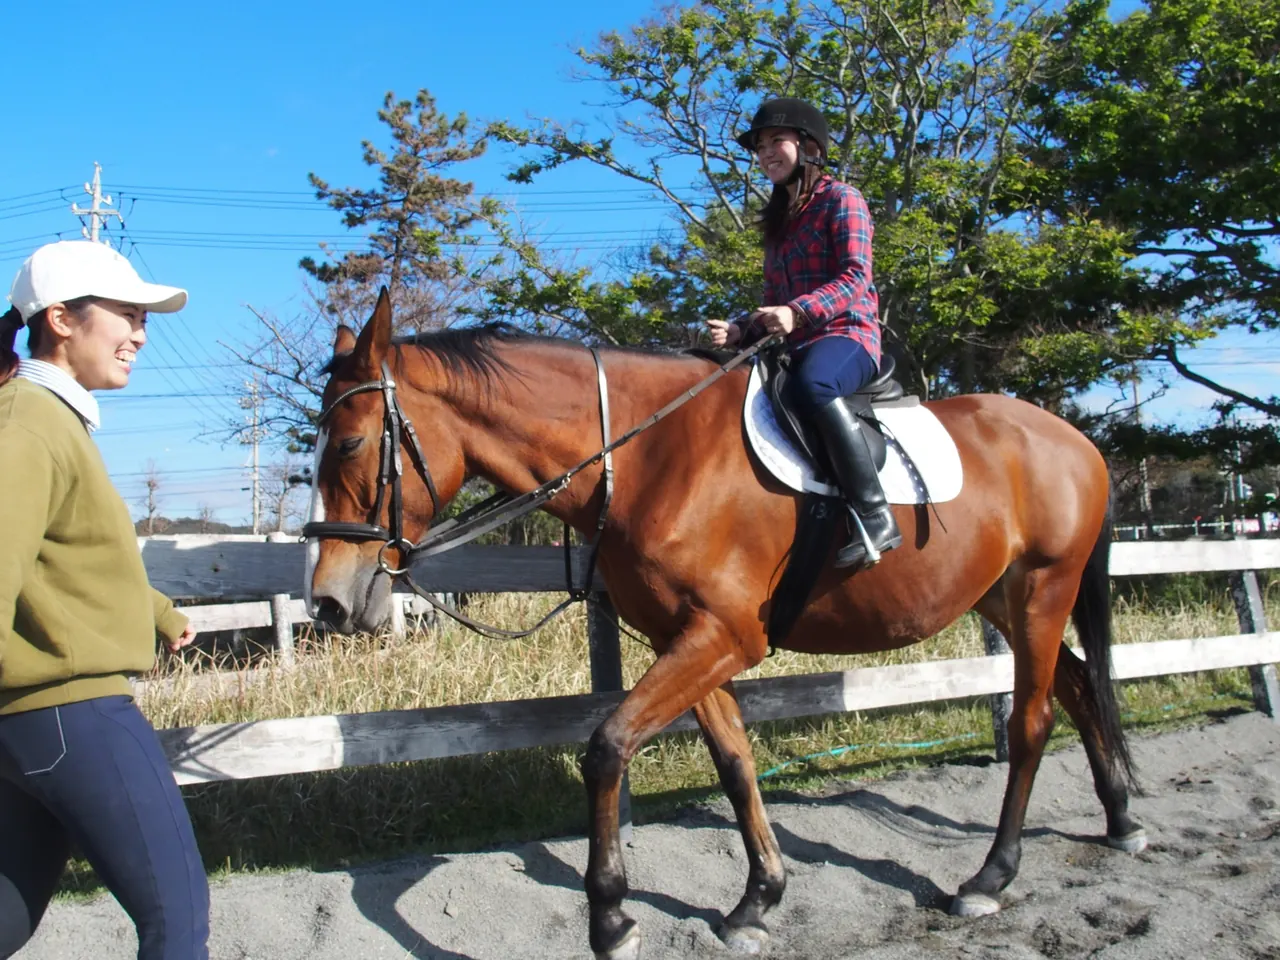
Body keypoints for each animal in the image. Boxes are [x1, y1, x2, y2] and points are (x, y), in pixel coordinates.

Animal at [304, 290, 1143, 960]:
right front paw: (757, 900)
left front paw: (611, 920)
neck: (651, 453)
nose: (328, 604)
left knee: (1033, 721)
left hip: (1042, 591)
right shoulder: (687, 638)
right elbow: (735, 764)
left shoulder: (723, 637)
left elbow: (607, 749)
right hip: (1002, 596)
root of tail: (1072, 439)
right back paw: (1121, 819)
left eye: (349, 442)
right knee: (1077, 688)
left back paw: (991, 876)